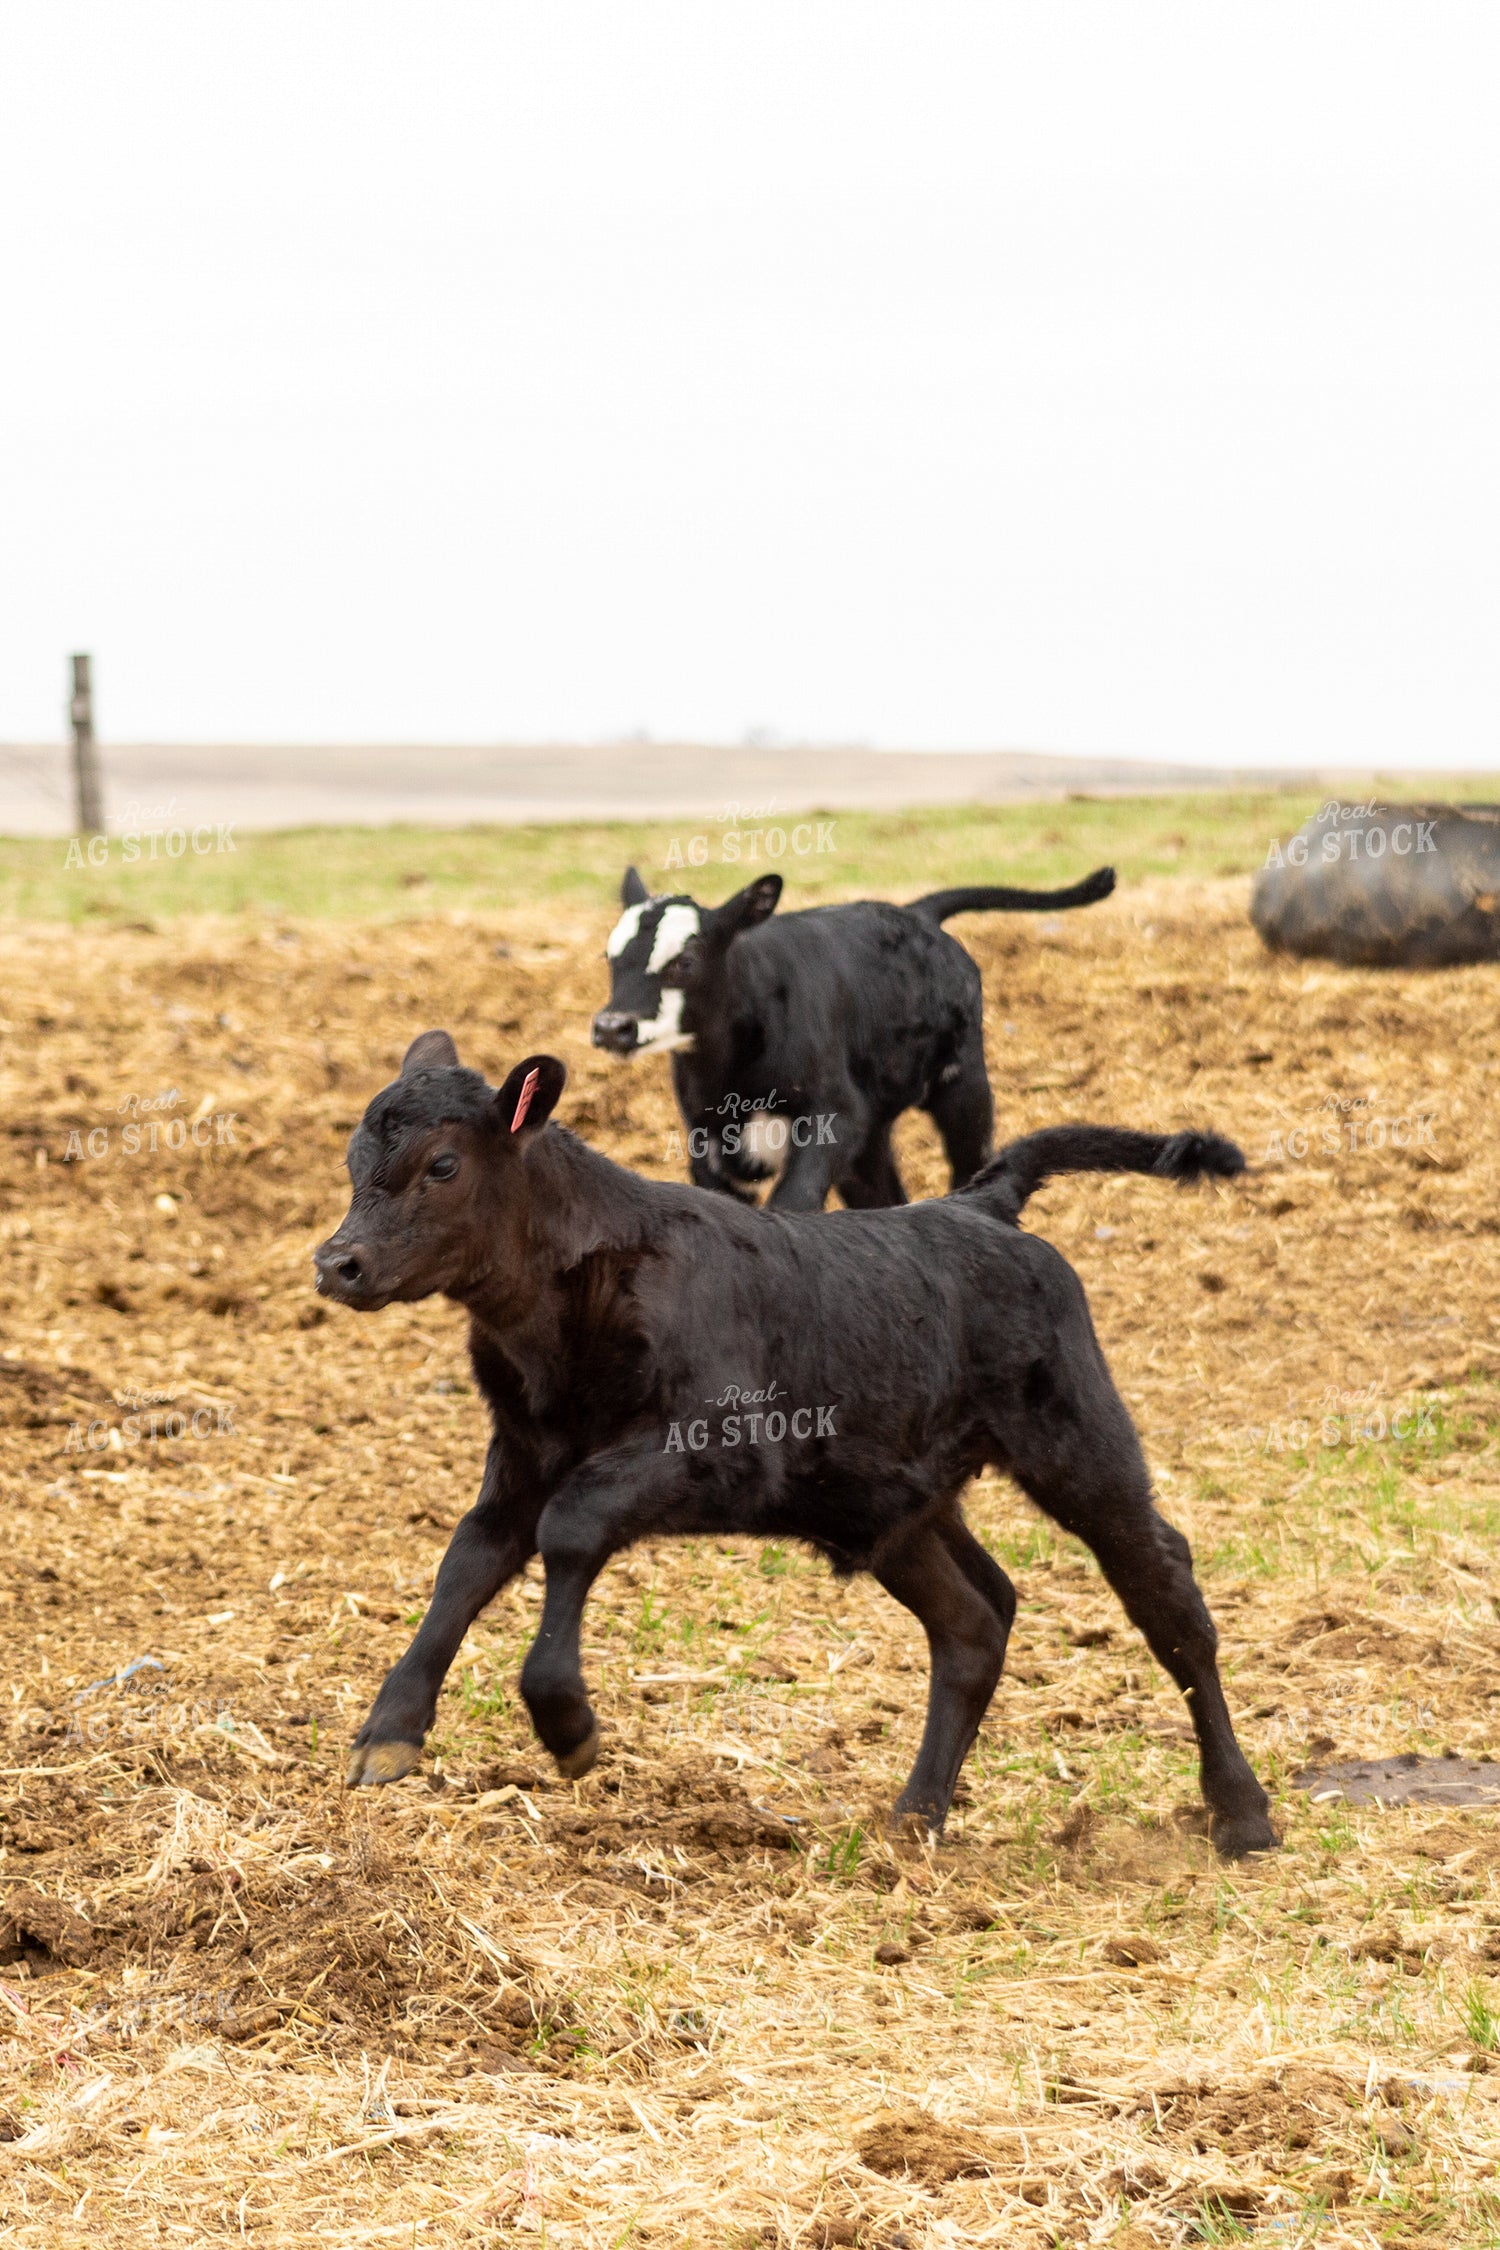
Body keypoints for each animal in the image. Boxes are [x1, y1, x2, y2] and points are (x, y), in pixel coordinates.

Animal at [315, 1031, 1276, 1861]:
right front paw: (389, 1731)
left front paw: (567, 1722)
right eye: (354, 1163)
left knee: (1167, 1596)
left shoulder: (718, 1451)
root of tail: (978, 1203)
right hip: (891, 1502)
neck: (572, 1309)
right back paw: (916, 1818)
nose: (337, 1264)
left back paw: (1242, 1812)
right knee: (974, 1620)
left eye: (442, 1165)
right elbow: (468, 1563)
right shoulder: (520, 1460)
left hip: (1081, 1446)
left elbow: (574, 1527)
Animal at [590, 862, 1116, 1210]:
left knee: (970, 1162)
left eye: (686, 961)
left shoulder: (833, 1115)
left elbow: (792, 1201)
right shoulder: (709, 1143)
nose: (613, 1027)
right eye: (611, 957)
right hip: (872, 1133)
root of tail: (917, 912)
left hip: (964, 1086)